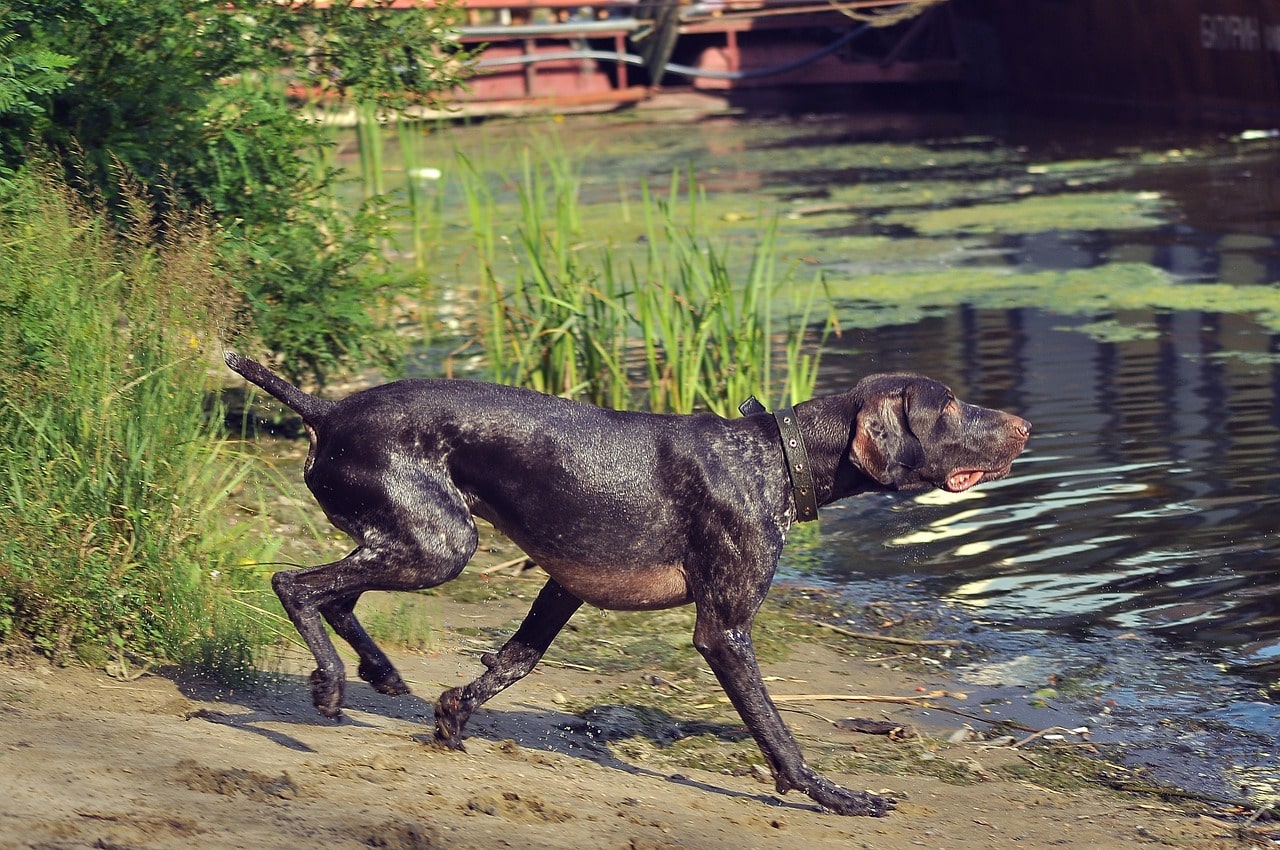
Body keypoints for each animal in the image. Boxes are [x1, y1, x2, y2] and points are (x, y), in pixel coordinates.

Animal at [225, 350, 1034, 819]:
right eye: (948, 405)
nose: (1024, 425)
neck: (773, 458)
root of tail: (326, 409)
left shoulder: (563, 587)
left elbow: (512, 662)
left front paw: (453, 715)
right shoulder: (723, 631)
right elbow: (779, 736)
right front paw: (833, 795)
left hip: (413, 538)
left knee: (338, 596)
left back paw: (380, 672)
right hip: (439, 545)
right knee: (295, 583)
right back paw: (332, 680)